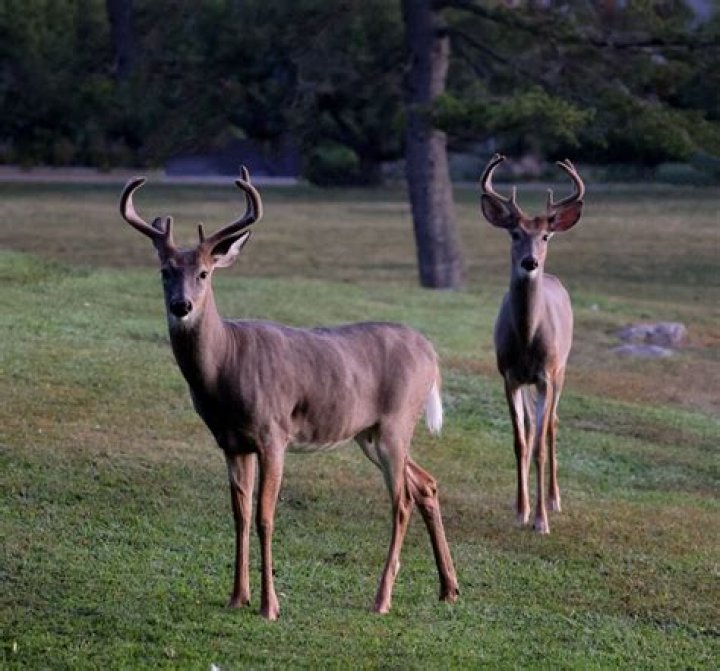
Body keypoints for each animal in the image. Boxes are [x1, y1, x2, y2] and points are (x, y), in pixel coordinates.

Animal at [118, 167, 459, 620]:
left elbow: (265, 516)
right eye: (164, 271)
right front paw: (237, 596)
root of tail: (431, 353)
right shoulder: (231, 443)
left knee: (401, 500)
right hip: (368, 434)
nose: (182, 306)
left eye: (205, 272)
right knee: (426, 484)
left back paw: (382, 598)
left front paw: (269, 605)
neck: (226, 364)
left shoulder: (272, 433)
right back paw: (449, 588)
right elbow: (239, 515)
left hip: (396, 422)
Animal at [479, 154, 585, 535]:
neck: (527, 338)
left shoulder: (546, 375)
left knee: (551, 426)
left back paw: (553, 499)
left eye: (546, 235)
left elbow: (538, 445)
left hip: (563, 370)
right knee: (530, 427)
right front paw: (521, 510)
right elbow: (520, 441)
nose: (530, 262)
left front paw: (540, 520)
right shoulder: (509, 375)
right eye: (515, 233)